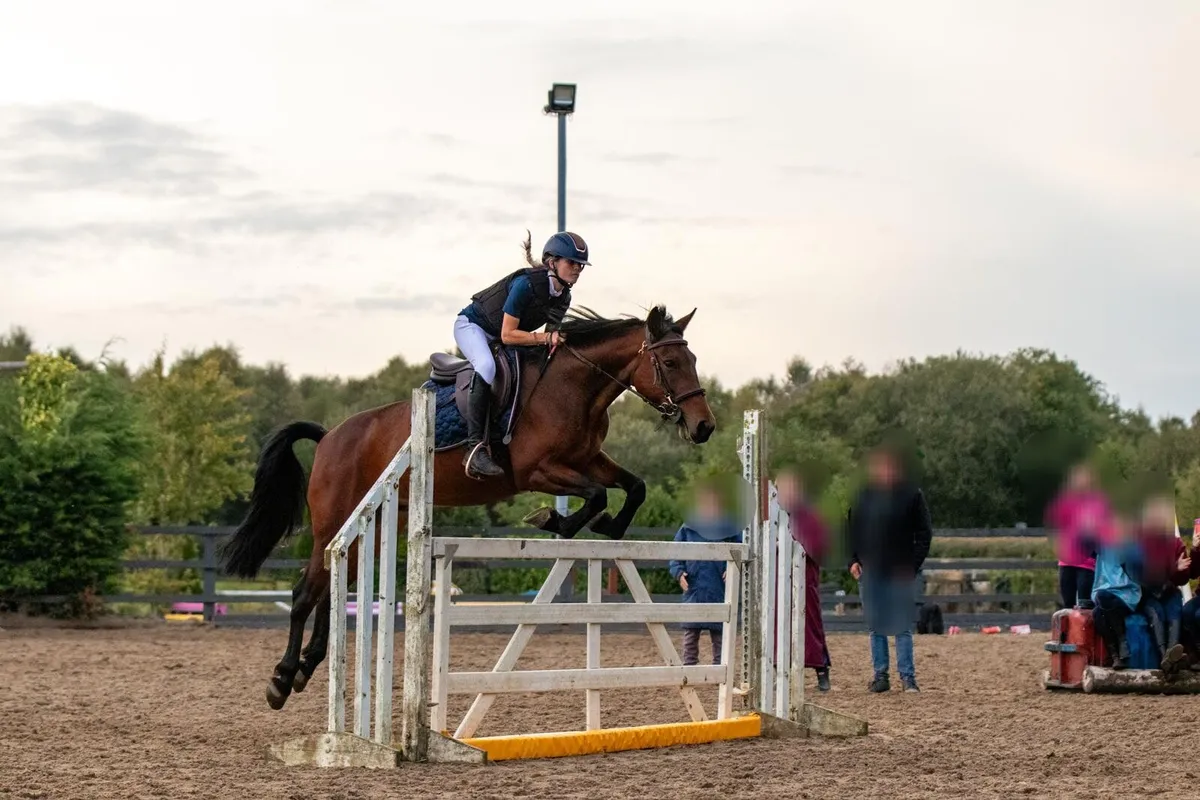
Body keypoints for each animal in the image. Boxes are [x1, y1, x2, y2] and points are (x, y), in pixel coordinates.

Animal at [218, 304, 717, 711]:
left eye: (693, 361)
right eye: (670, 362)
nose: (705, 427)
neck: (575, 387)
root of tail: (330, 436)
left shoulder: (588, 460)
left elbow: (634, 487)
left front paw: (608, 528)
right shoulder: (536, 470)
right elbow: (595, 495)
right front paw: (554, 520)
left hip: (369, 524)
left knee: (332, 584)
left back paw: (308, 665)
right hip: (333, 521)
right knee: (306, 591)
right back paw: (282, 679)